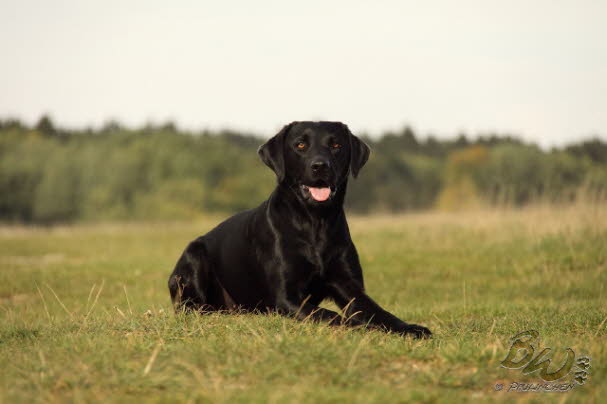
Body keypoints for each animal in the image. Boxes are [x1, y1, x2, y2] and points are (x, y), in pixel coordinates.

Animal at [167, 120, 432, 338]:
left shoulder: (350, 287)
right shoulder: (286, 298)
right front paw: (361, 326)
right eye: (301, 145)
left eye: (336, 145)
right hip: (194, 256)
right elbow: (332, 315)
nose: (320, 166)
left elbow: (380, 312)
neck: (315, 223)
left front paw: (410, 328)